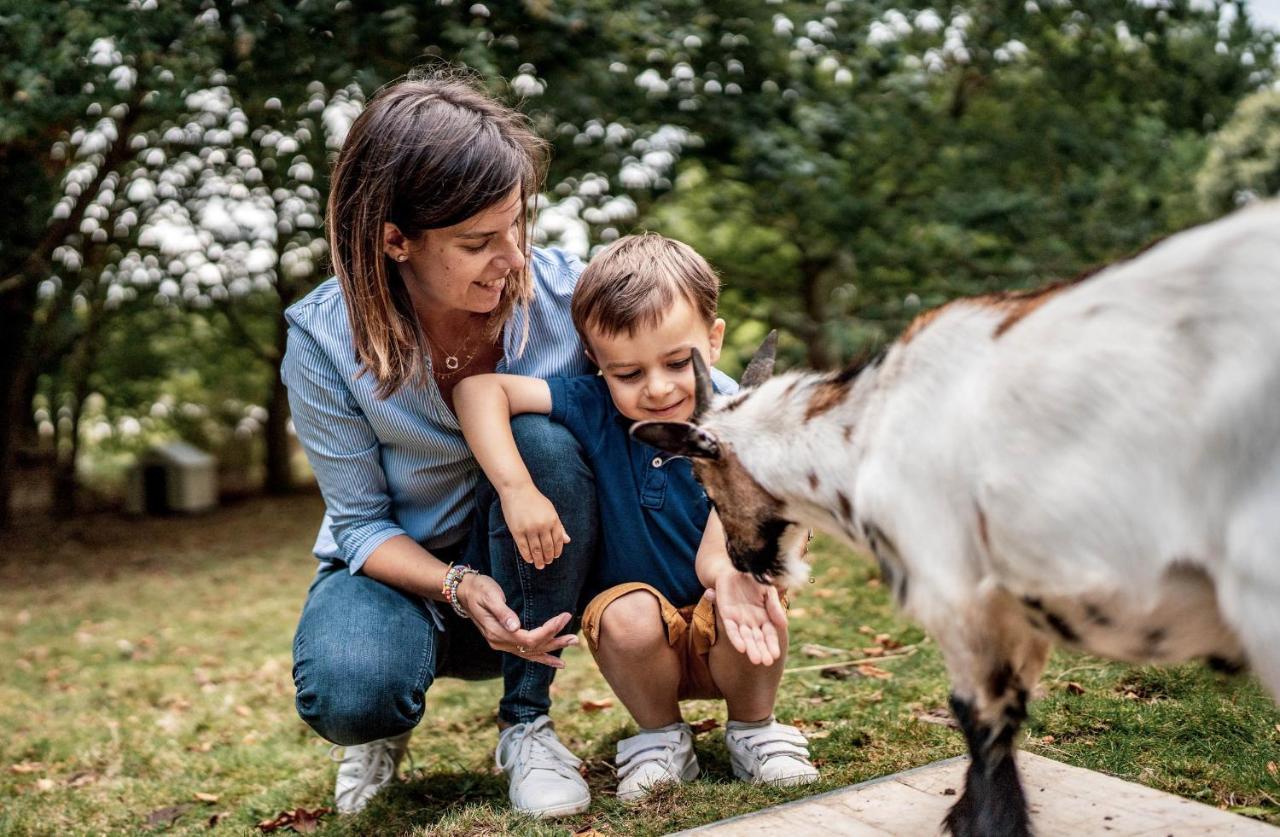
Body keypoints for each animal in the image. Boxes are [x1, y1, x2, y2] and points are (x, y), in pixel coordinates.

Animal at [632, 204, 1280, 837]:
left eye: (701, 480)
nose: (742, 560)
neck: (865, 432)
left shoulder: (952, 586)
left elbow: (978, 714)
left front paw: (981, 822)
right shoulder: (1017, 600)